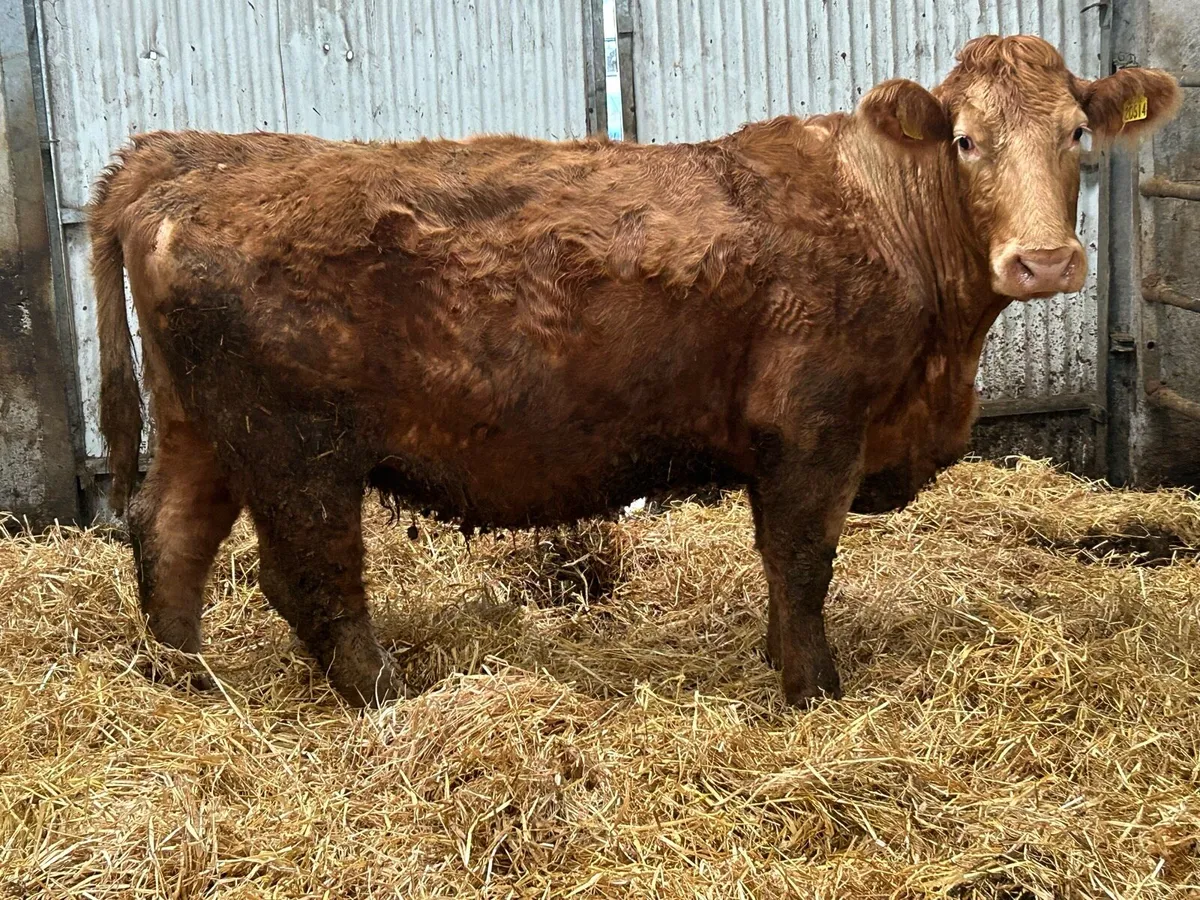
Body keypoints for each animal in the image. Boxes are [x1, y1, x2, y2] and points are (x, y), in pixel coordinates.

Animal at [89, 35, 1180, 708]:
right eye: (964, 140)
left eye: (1077, 135)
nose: (1044, 260)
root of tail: (180, 157)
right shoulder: (811, 426)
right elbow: (802, 561)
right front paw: (812, 690)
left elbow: (787, 566)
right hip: (296, 445)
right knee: (306, 574)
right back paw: (390, 697)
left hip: (202, 427)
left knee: (169, 534)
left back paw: (186, 681)